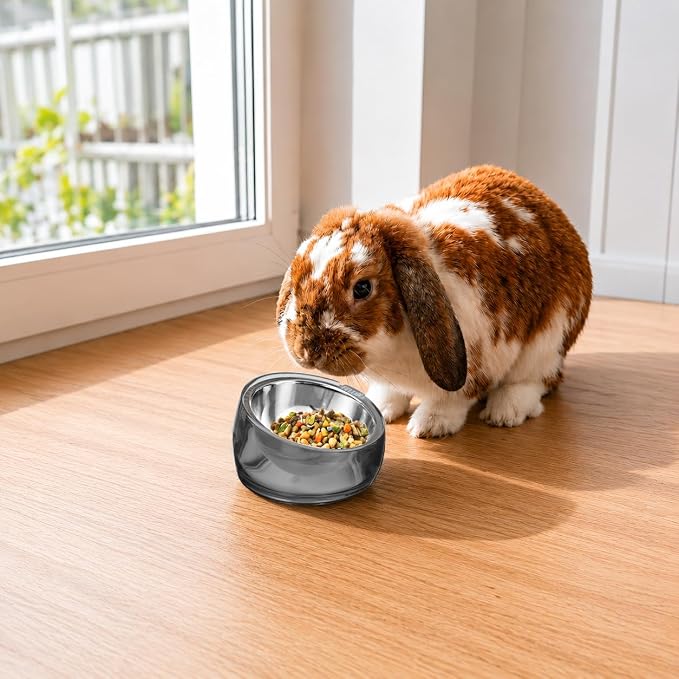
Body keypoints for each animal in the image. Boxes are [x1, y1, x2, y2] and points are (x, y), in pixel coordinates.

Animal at [276, 165, 592, 438]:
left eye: (362, 288)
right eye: (298, 273)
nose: (305, 350)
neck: (391, 349)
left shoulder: (476, 364)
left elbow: (450, 400)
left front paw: (428, 426)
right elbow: (390, 392)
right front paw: (383, 409)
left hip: (547, 343)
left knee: (537, 381)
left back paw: (504, 412)